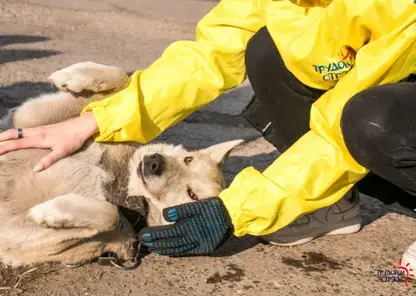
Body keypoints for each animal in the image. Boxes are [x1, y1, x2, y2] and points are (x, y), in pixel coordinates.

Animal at [0, 61, 244, 266]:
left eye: (192, 194)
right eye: (188, 159)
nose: (155, 162)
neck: (117, 182)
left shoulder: (15, 236)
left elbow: (109, 213)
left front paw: (52, 212)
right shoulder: (28, 121)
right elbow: (122, 80)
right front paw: (71, 75)